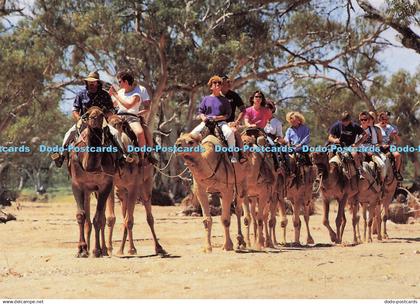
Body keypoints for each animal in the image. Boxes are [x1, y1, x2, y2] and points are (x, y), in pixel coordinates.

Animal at [68, 105, 116, 258]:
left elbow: (98, 219)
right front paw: (81, 249)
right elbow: (81, 215)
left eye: (102, 114)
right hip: (89, 191)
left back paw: (104, 250)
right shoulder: (77, 185)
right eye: (88, 114)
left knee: (102, 218)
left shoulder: (105, 185)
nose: (94, 118)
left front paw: (97, 250)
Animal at [104, 116, 167, 256]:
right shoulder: (112, 185)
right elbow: (111, 218)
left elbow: (130, 220)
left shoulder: (134, 186)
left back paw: (159, 248)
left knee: (148, 215)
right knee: (125, 215)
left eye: (118, 125)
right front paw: (109, 249)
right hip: (122, 192)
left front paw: (131, 249)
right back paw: (122, 250)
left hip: (146, 184)